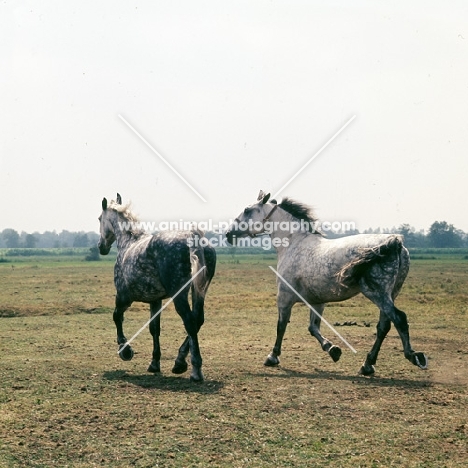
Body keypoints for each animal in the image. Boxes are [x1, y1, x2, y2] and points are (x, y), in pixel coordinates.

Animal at [99, 194, 217, 380]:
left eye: (99, 219)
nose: (101, 247)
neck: (129, 242)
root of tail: (193, 237)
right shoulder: (155, 301)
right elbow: (154, 328)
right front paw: (154, 363)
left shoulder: (123, 297)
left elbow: (117, 317)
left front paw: (125, 350)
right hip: (199, 291)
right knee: (198, 320)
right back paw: (179, 362)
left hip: (179, 294)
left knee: (190, 321)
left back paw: (195, 370)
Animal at [227, 190, 428, 376]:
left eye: (247, 210)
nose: (228, 234)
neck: (293, 244)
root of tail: (394, 243)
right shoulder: (317, 301)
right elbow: (313, 327)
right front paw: (333, 350)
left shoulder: (284, 298)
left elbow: (281, 326)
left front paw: (272, 356)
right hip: (391, 293)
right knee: (384, 326)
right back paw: (367, 365)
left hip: (377, 293)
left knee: (399, 319)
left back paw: (414, 357)